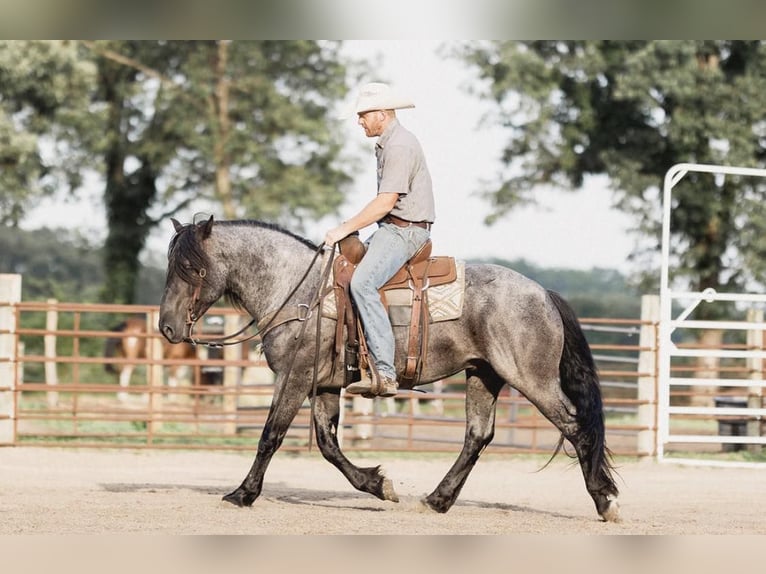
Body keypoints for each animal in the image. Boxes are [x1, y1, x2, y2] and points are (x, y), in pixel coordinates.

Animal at [159, 218, 620, 524]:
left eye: (194, 269)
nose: (167, 328)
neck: (300, 291)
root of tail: (543, 293)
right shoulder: (324, 386)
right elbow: (328, 444)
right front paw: (377, 484)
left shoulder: (294, 377)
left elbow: (270, 436)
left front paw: (243, 493)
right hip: (483, 375)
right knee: (478, 435)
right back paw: (438, 500)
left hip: (532, 379)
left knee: (576, 428)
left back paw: (605, 501)